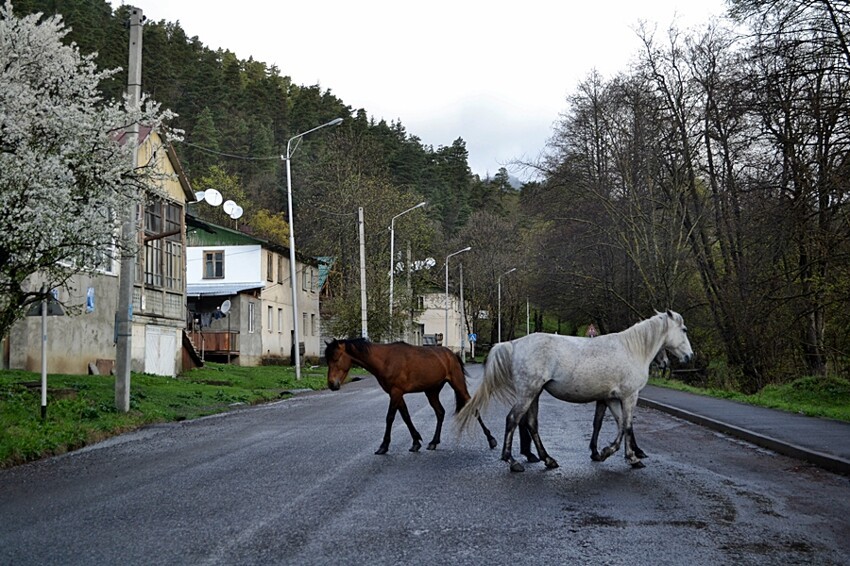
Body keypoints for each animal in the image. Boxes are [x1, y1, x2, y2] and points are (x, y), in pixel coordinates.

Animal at [324, 340, 496, 454]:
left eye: (336, 358)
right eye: (328, 359)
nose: (332, 384)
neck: (385, 360)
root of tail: (451, 355)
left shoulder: (396, 392)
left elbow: (390, 417)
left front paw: (384, 446)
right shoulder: (396, 393)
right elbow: (406, 416)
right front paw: (415, 441)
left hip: (457, 384)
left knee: (473, 407)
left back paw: (491, 439)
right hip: (431, 391)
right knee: (440, 412)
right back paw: (434, 442)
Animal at [458, 312, 688, 472]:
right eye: (684, 330)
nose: (688, 356)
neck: (631, 350)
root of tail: (514, 343)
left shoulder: (612, 398)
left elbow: (620, 425)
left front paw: (605, 452)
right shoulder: (629, 396)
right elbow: (627, 426)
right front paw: (630, 457)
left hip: (534, 393)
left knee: (531, 424)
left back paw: (547, 459)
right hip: (528, 393)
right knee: (513, 419)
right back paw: (512, 461)